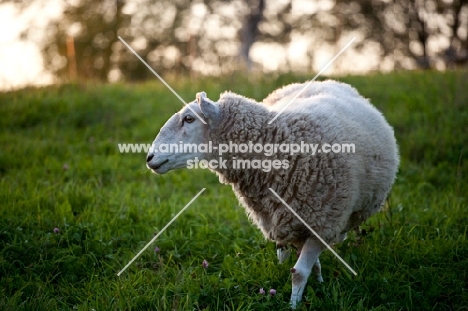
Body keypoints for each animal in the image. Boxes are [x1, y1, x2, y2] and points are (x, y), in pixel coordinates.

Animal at [145, 80, 398, 310]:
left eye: (189, 119)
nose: (149, 157)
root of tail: (326, 80)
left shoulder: (322, 222)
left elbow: (299, 272)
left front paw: (294, 305)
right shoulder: (296, 222)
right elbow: (307, 266)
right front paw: (316, 287)